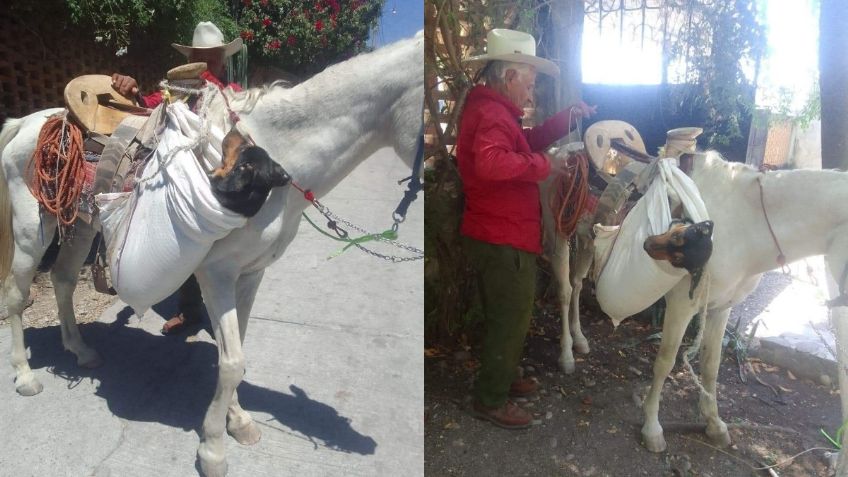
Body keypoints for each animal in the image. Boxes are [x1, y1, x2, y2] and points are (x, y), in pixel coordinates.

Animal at [0, 32, 424, 476]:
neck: (274, 157)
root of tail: (26, 122)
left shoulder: (252, 273)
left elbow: (238, 350)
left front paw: (237, 421)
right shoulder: (217, 274)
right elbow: (232, 361)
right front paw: (214, 448)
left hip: (80, 226)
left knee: (63, 279)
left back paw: (81, 352)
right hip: (33, 229)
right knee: (17, 293)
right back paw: (25, 376)